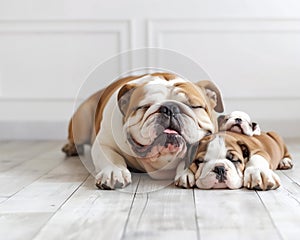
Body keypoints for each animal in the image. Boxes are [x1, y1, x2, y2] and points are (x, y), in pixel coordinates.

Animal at [62, 72, 224, 189]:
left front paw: (187, 172)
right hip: (81, 123)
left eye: (195, 106)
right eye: (144, 107)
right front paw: (114, 172)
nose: (170, 108)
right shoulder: (103, 143)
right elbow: (111, 157)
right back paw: (70, 148)